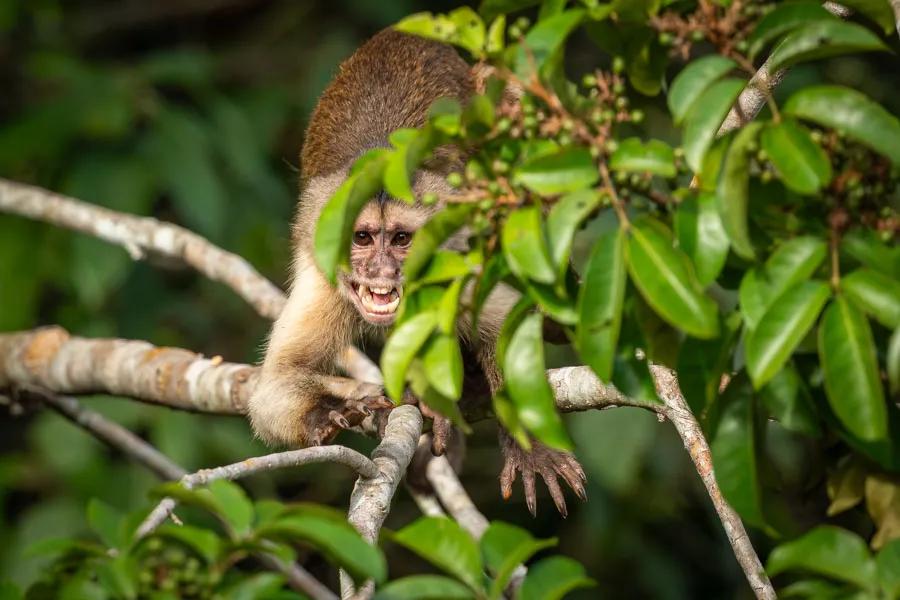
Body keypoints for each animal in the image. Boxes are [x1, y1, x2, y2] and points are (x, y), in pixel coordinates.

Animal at [248, 28, 586, 516]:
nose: (381, 269)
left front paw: (528, 443)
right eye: (362, 238)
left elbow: (507, 328)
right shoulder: (323, 274)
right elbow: (273, 387)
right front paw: (329, 410)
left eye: (401, 240)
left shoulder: (456, 254)